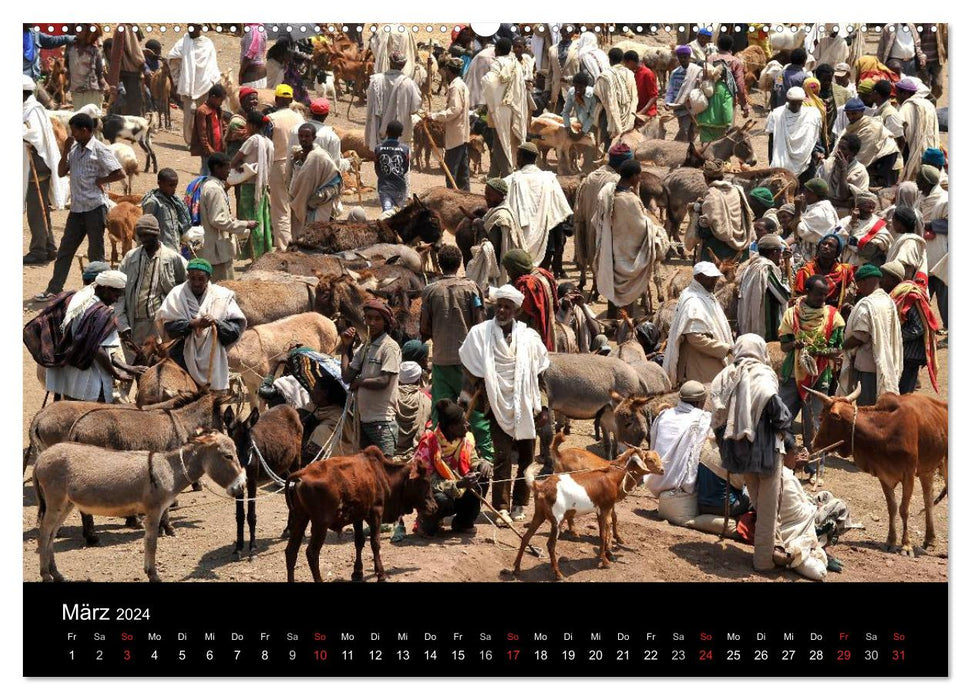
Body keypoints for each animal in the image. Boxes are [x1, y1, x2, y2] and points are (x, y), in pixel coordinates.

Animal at [280, 446, 432, 584]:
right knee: (312, 553)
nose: (434, 506)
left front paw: (357, 572)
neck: (382, 473)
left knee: (291, 551)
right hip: (320, 524)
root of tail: (301, 474)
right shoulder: (376, 512)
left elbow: (359, 542)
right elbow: (375, 543)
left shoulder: (358, 516)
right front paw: (380, 574)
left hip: (300, 518)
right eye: (425, 482)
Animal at [804, 388, 948, 556]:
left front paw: (906, 545)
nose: (812, 444)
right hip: (927, 470)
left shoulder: (908, 475)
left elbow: (904, 510)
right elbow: (892, 508)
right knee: (928, 500)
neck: (884, 429)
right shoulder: (883, 476)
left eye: (822, 417)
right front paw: (890, 541)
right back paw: (930, 540)